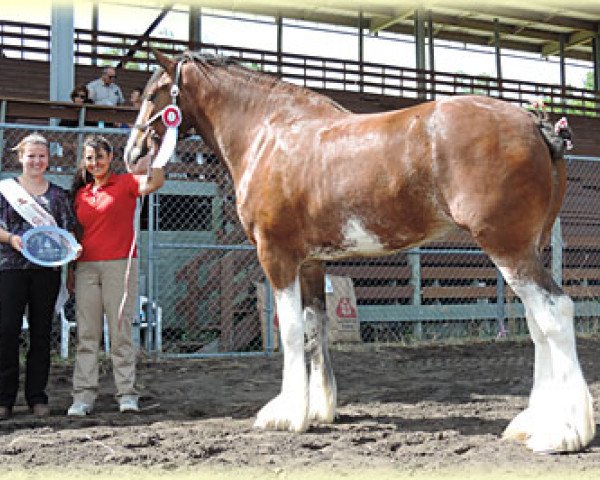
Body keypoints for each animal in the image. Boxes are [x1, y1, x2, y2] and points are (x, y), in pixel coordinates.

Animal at [123, 51, 596, 454]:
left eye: (151, 96)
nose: (132, 154)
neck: (269, 133)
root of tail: (534, 124)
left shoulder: (277, 256)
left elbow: (290, 331)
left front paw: (288, 415)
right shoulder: (311, 262)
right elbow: (314, 328)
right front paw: (319, 409)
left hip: (507, 246)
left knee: (555, 312)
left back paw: (563, 434)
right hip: (523, 248)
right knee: (537, 323)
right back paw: (532, 423)